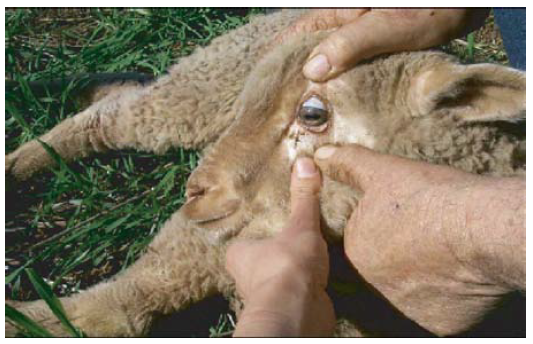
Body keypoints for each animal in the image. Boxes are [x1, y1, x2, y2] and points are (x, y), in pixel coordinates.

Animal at [6, 9, 524, 338]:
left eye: (312, 114)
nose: (196, 193)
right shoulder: (214, 237)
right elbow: (124, 307)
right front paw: (18, 318)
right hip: (204, 86)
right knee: (112, 119)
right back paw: (18, 161)